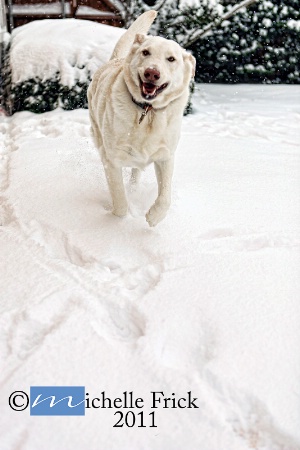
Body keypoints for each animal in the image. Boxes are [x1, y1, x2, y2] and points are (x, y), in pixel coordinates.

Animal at [87, 10, 195, 227]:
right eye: (146, 53)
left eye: (171, 59)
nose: (151, 73)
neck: (148, 112)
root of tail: (116, 59)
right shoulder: (112, 160)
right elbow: (119, 198)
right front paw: (116, 222)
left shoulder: (165, 156)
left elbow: (165, 196)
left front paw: (154, 217)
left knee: (136, 172)